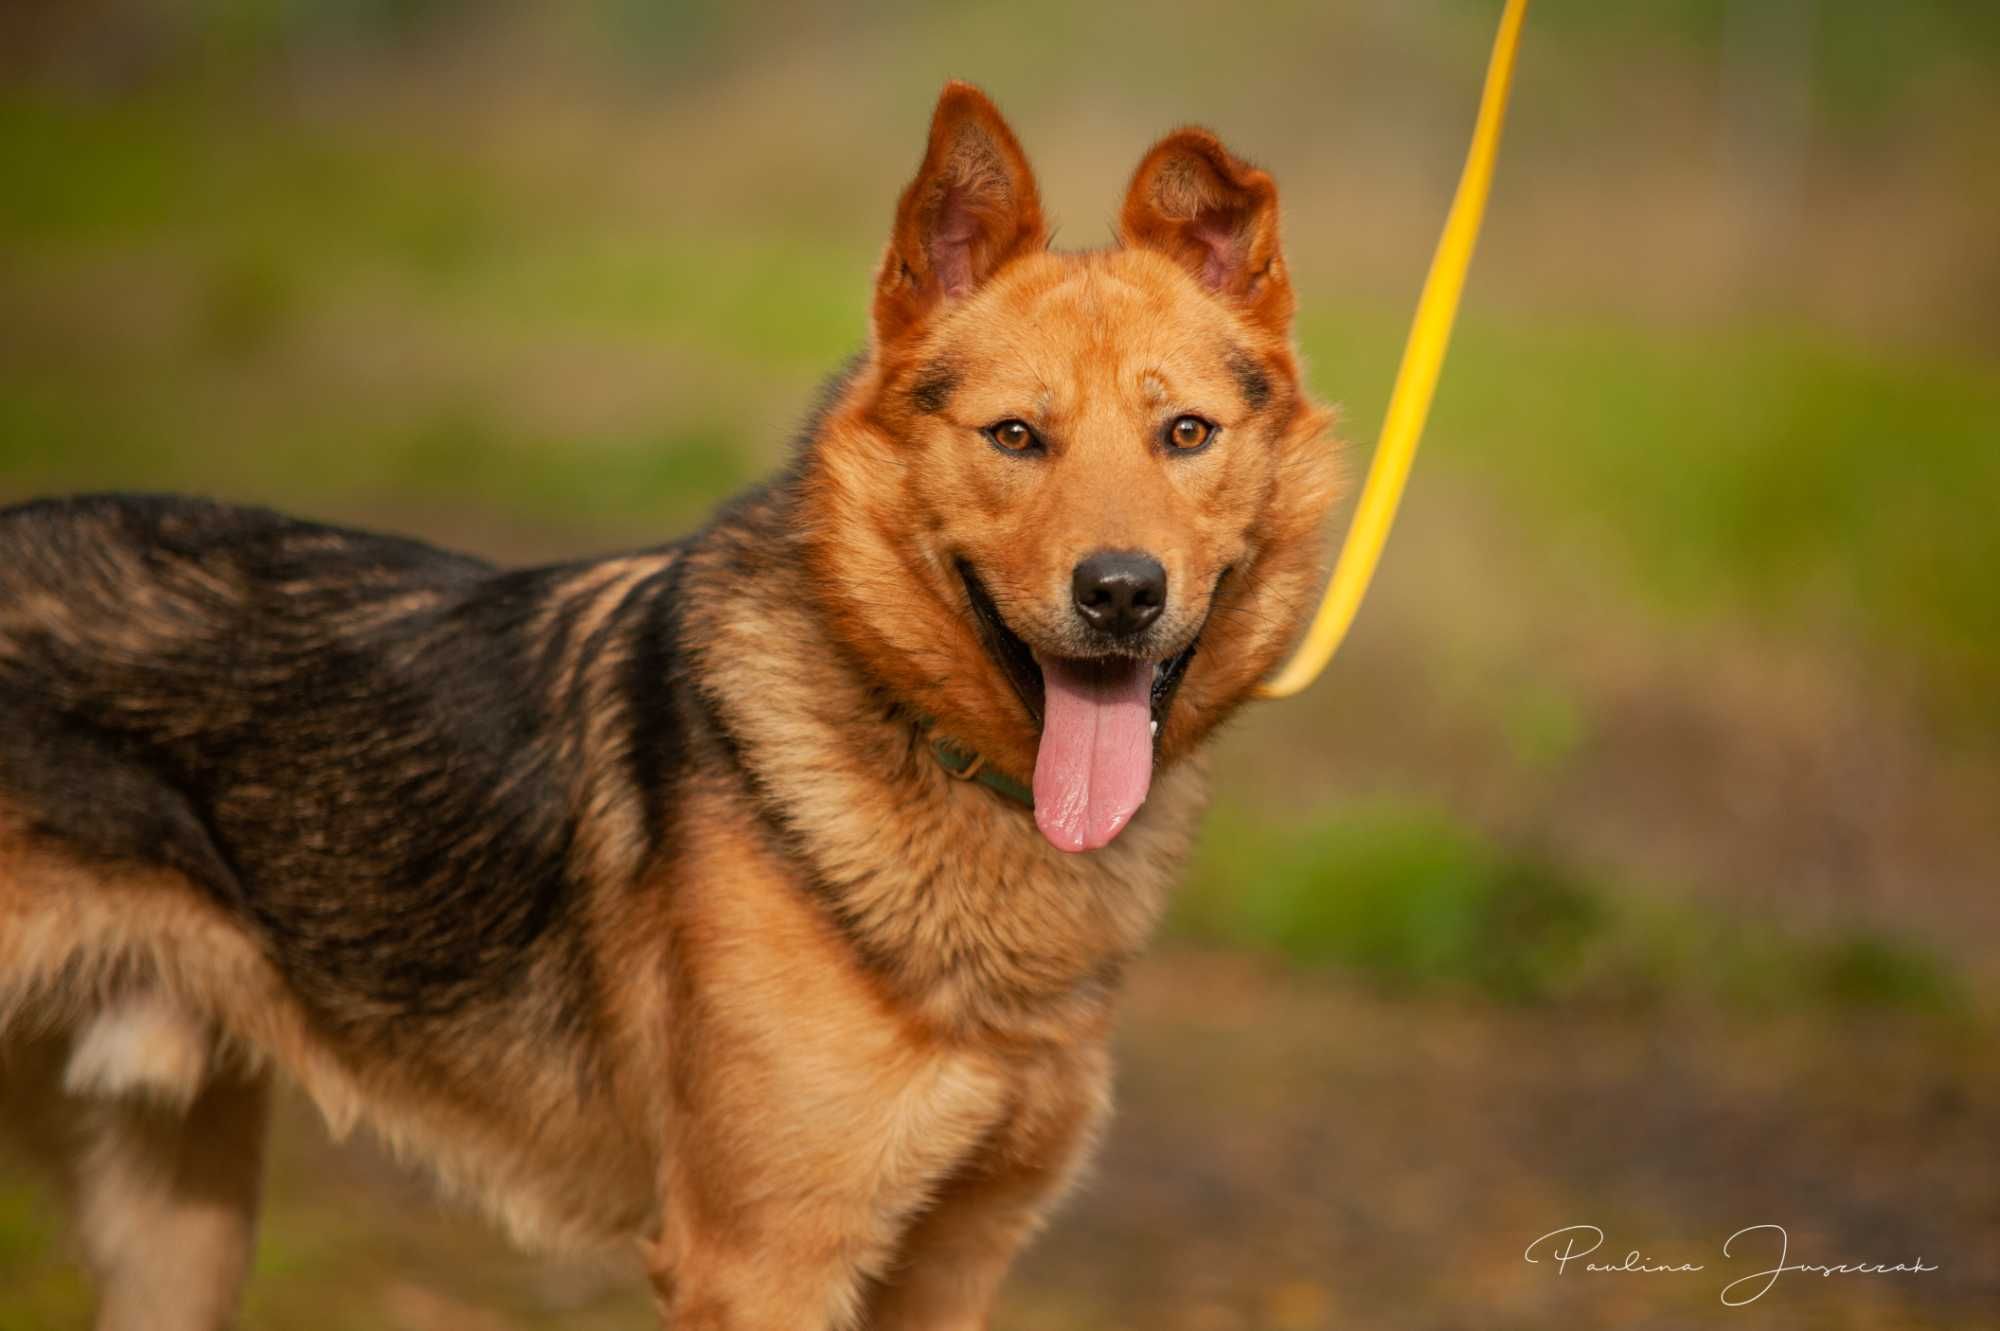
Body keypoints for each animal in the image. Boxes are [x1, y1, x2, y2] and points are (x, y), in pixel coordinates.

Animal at [3, 85, 1344, 1327]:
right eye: (1014, 436)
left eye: (1185, 433)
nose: (1120, 592)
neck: (953, 781)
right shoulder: (757, 1266)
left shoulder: (952, 1260)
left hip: (179, 1227)